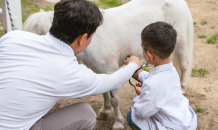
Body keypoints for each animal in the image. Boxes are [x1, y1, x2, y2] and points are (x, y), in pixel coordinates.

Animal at [23, 0, 193, 128]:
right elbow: (104, 93)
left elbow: (114, 99)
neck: (92, 42)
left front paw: (118, 123)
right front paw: (104, 112)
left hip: (181, 42)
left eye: (40, 35)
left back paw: (183, 88)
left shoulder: (110, 72)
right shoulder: (100, 73)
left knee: (184, 64)